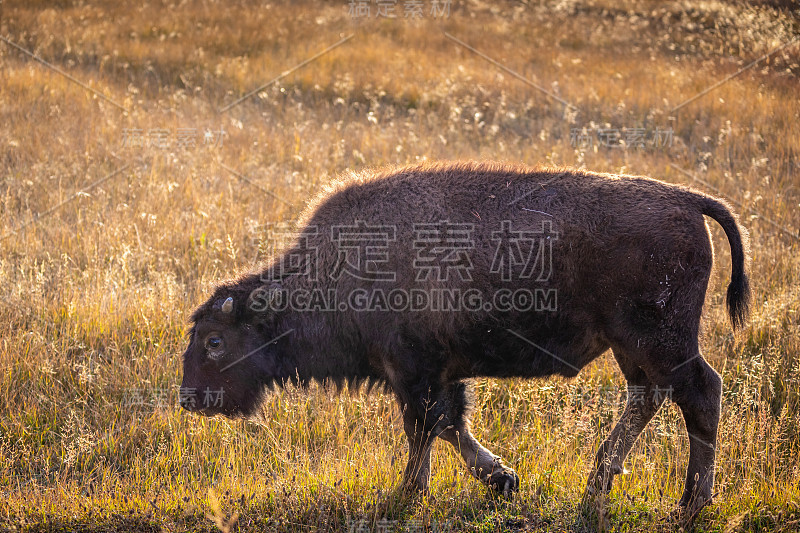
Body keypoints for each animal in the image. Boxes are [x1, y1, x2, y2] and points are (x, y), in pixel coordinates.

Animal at [180, 161, 752, 512]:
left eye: (214, 341)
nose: (189, 399)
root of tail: (688, 201)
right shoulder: (441, 372)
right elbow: (451, 425)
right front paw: (504, 480)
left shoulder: (413, 372)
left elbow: (424, 430)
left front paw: (408, 494)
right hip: (631, 347)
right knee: (650, 397)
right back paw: (599, 483)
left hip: (658, 341)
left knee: (700, 393)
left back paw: (690, 502)